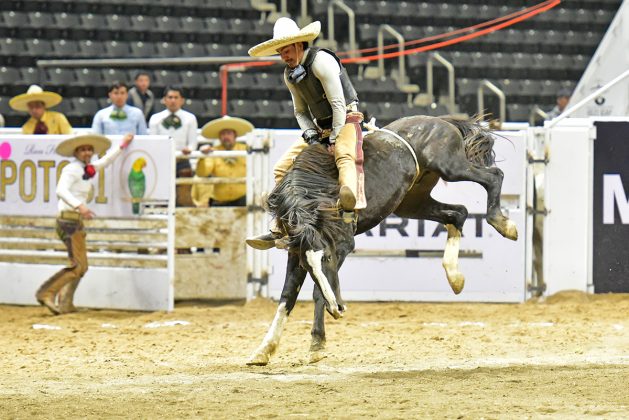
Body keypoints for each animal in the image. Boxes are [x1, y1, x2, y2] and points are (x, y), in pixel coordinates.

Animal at [248, 114, 516, 364]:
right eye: (307, 263)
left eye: (327, 257)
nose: (339, 308)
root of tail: (440, 120)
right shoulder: (298, 251)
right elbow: (287, 296)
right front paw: (264, 350)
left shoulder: (342, 247)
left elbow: (318, 291)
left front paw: (317, 344)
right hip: (412, 202)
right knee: (458, 213)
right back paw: (455, 276)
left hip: (451, 167)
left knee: (494, 176)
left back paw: (503, 224)